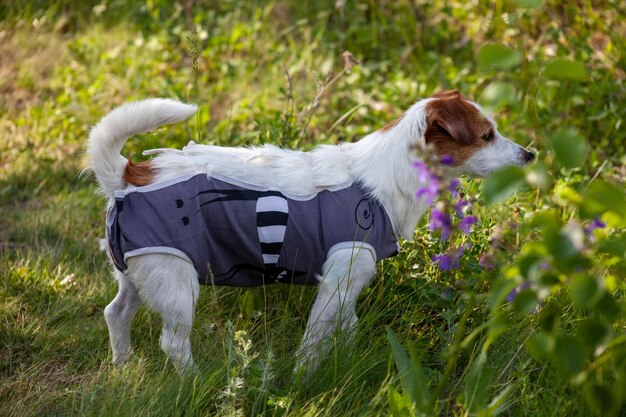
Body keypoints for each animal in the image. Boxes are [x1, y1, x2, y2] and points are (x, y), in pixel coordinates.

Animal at [88, 90, 532, 370]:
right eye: (486, 135)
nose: (530, 154)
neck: (382, 179)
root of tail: (128, 176)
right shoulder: (336, 284)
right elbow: (315, 341)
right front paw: (305, 376)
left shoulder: (350, 282)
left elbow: (348, 327)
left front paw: (348, 358)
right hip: (177, 283)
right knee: (174, 343)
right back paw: (194, 380)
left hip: (139, 274)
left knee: (116, 312)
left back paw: (123, 365)